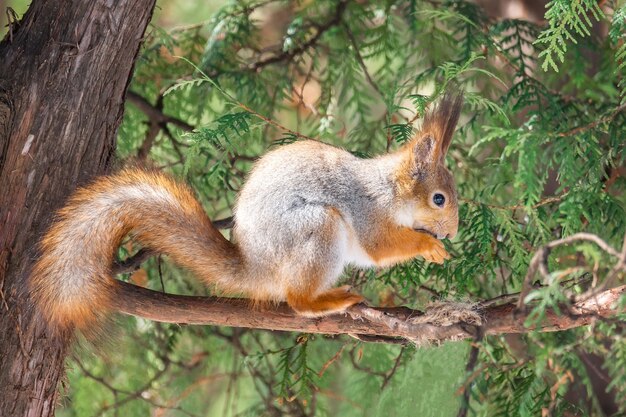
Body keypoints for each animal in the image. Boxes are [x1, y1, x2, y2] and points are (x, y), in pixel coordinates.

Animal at [29, 89, 460, 330]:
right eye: (439, 198)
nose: (453, 231)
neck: (389, 188)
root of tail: (256, 268)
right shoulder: (366, 208)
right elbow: (380, 246)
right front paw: (429, 247)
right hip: (316, 228)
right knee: (297, 300)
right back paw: (328, 300)